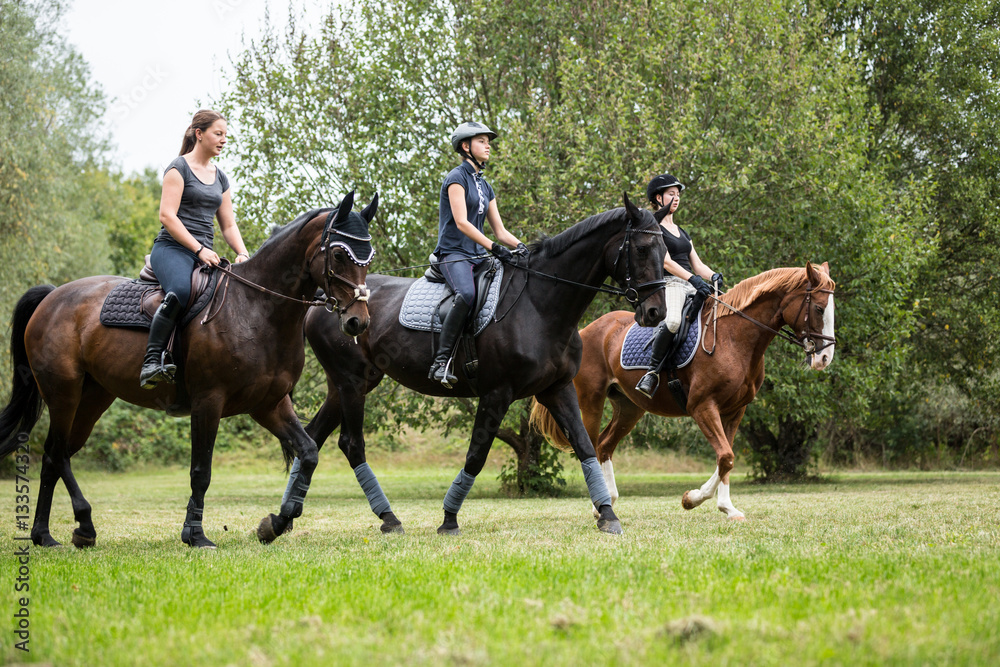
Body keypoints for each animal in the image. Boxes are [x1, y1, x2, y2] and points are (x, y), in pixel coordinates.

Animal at [0, 193, 376, 548]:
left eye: (368, 257)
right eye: (340, 255)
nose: (358, 322)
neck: (255, 309)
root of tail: (52, 297)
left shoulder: (268, 404)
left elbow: (308, 453)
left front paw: (275, 524)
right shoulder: (208, 402)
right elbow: (201, 471)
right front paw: (195, 535)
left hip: (93, 398)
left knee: (57, 456)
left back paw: (48, 533)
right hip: (63, 394)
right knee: (55, 453)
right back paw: (76, 525)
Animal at [282, 193, 668, 536]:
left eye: (665, 251)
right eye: (642, 249)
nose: (655, 313)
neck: (539, 304)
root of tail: (326, 300)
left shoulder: (557, 390)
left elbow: (585, 447)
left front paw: (607, 515)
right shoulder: (497, 393)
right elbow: (476, 456)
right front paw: (449, 520)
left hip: (350, 384)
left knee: (313, 437)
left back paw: (287, 516)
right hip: (351, 381)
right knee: (350, 444)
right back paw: (386, 518)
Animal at [532, 262, 836, 520]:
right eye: (820, 309)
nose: (824, 358)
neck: (734, 338)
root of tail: (587, 329)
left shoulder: (735, 410)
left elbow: (726, 458)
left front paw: (727, 507)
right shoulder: (702, 407)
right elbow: (726, 457)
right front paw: (692, 499)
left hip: (631, 408)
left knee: (605, 445)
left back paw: (610, 499)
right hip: (591, 402)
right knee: (590, 446)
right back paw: (599, 507)